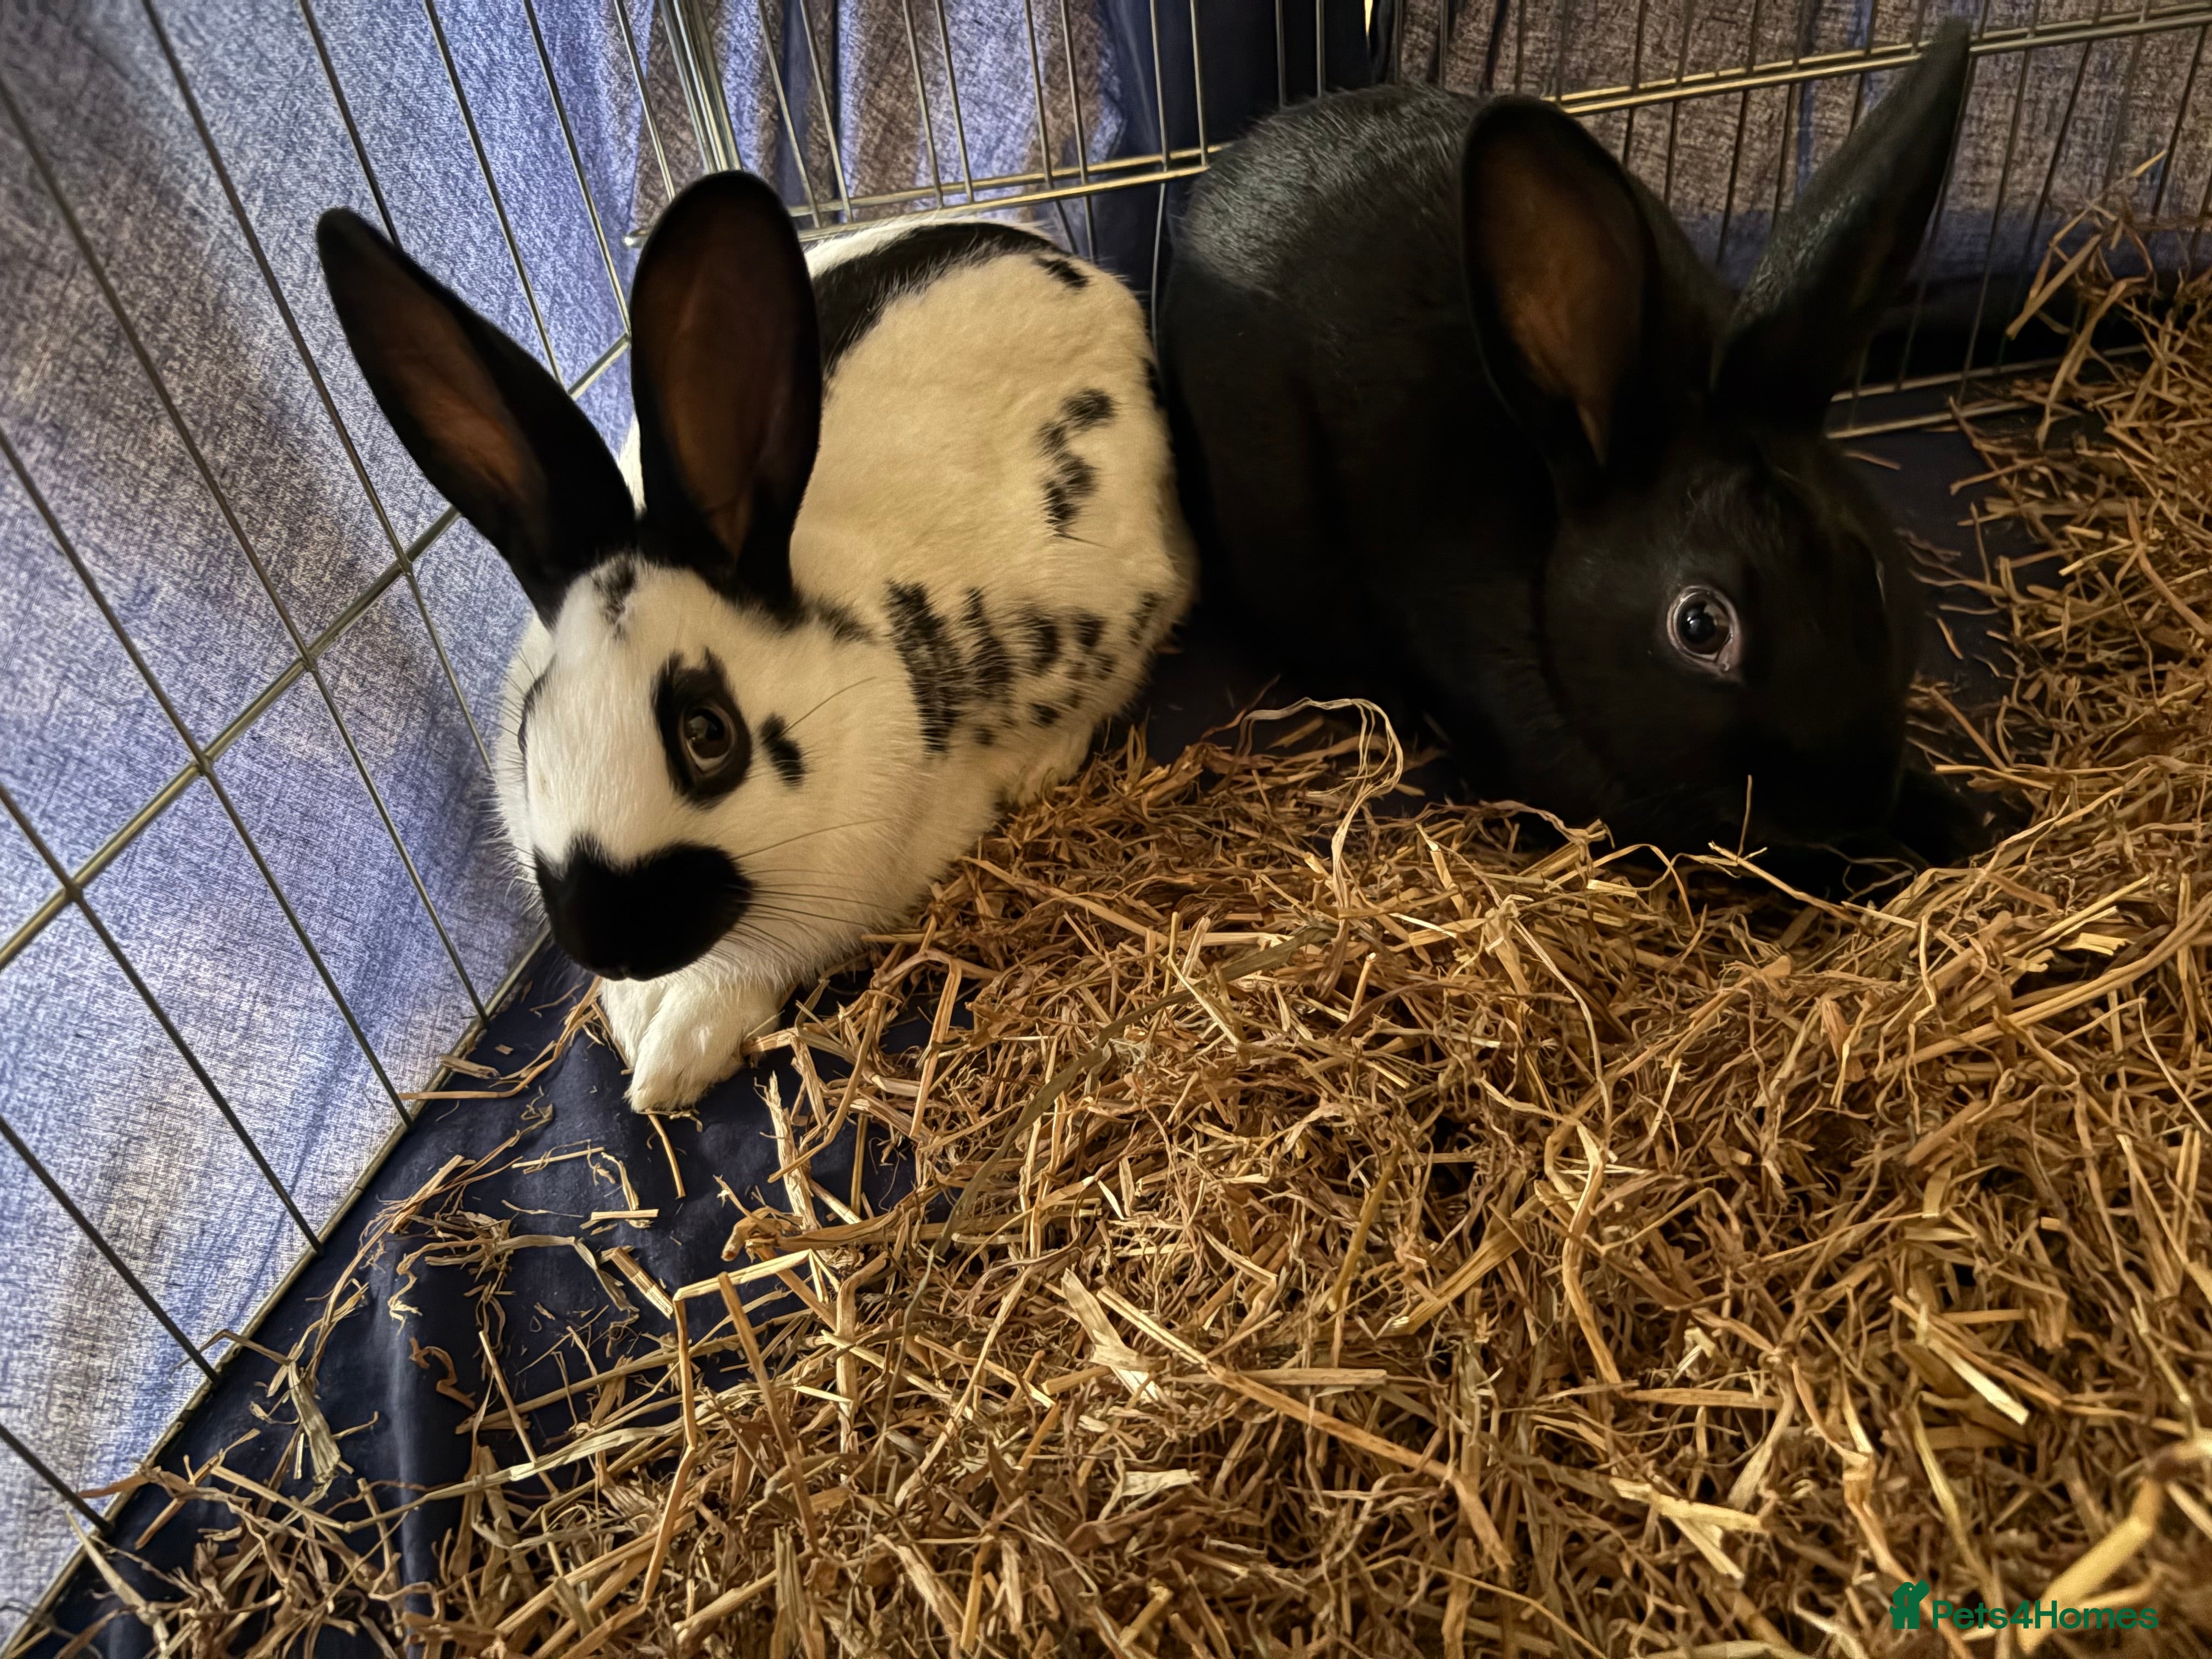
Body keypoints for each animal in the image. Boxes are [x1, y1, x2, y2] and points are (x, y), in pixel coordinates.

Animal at [318, 173, 1193, 1112]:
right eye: (528, 730)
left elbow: (740, 978)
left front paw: (670, 1061)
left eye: (709, 735)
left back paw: (1044, 761)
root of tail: (1079, 267)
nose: (610, 938)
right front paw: (633, 1015)